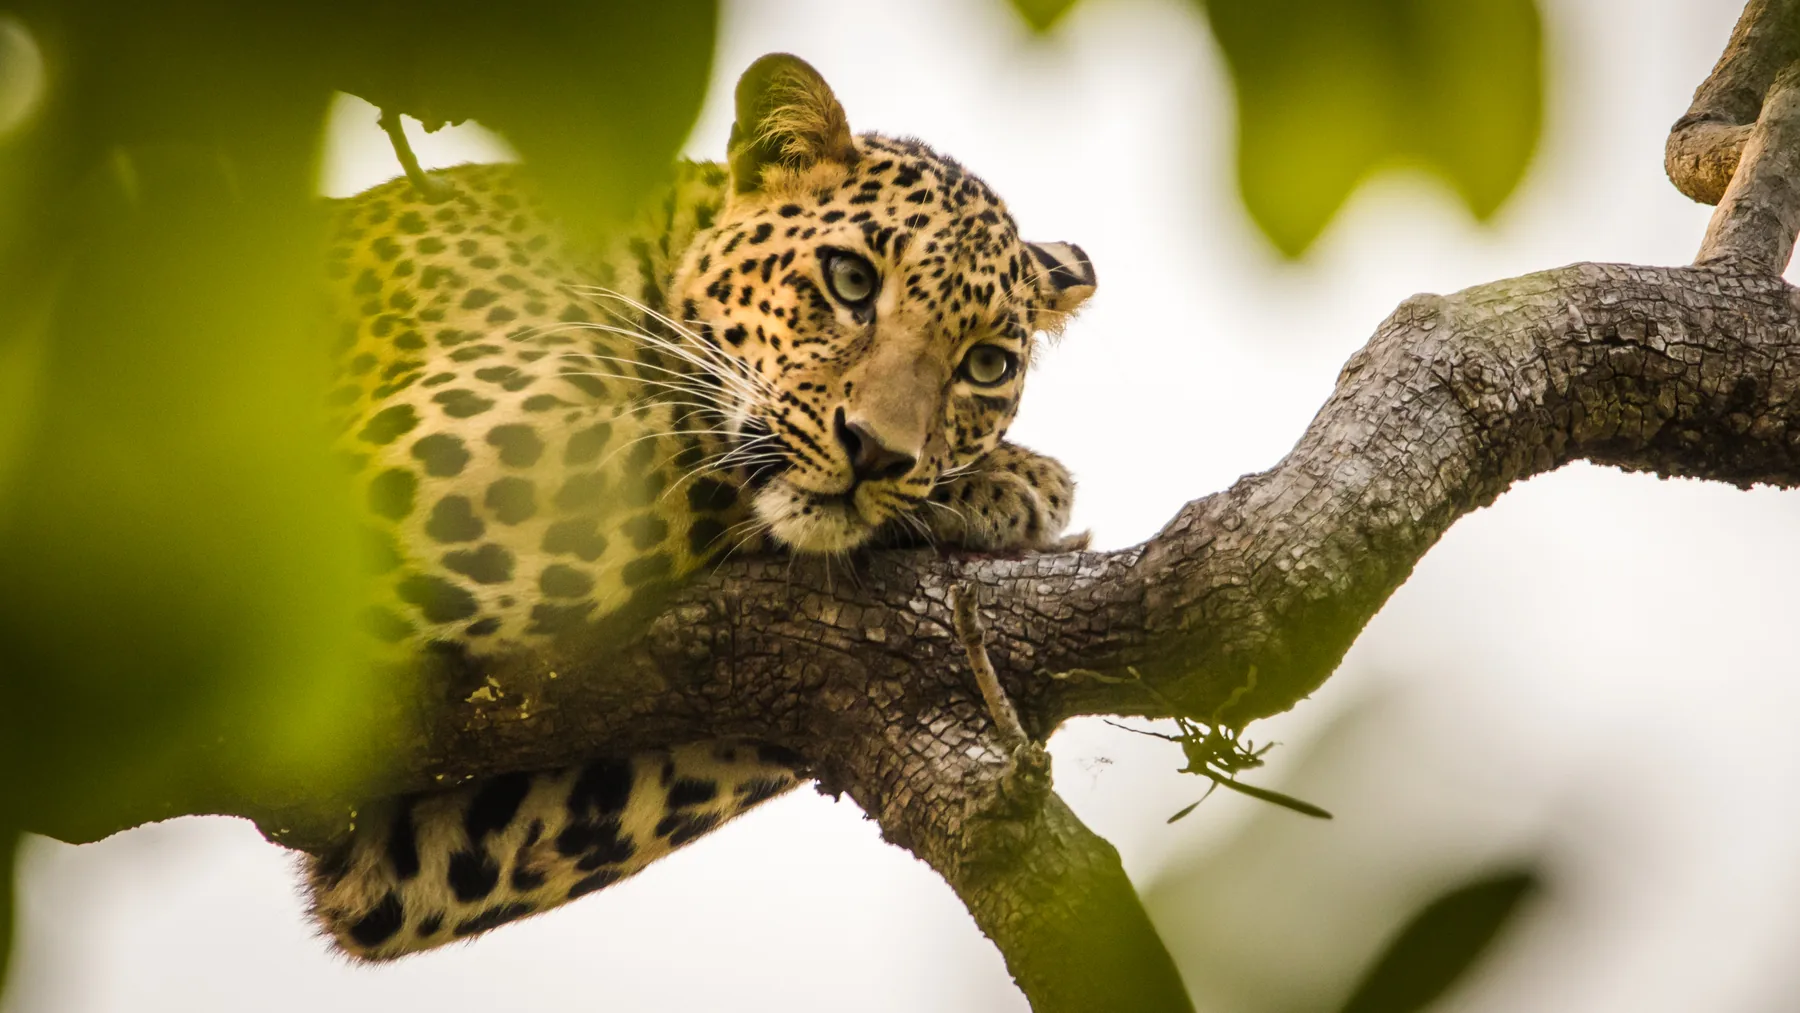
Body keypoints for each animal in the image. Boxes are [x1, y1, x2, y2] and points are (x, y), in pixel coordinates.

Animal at [306, 52, 1098, 960]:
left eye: (986, 365)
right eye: (852, 281)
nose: (878, 452)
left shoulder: (385, 839)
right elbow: (694, 447)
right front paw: (1021, 483)